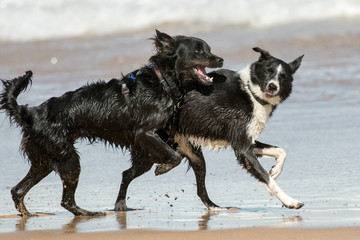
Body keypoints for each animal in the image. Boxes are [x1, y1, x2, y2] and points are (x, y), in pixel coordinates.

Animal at [0, 29, 222, 216]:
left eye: (209, 49)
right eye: (198, 51)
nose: (220, 59)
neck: (163, 82)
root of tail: (30, 113)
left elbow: (176, 154)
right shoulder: (144, 133)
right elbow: (174, 156)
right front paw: (163, 168)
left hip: (46, 160)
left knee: (18, 190)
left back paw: (29, 215)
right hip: (68, 159)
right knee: (65, 200)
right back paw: (89, 213)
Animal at [118, 47, 304, 211]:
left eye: (283, 77)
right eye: (268, 70)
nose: (273, 86)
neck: (251, 93)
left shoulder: (244, 142)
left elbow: (281, 151)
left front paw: (276, 170)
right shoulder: (242, 147)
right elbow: (267, 178)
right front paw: (290, 201)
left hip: (189, 154)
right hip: (150, 149)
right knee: (128, 173)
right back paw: (122, 204)